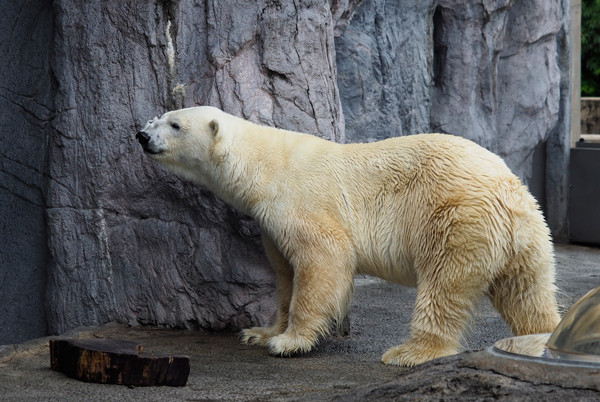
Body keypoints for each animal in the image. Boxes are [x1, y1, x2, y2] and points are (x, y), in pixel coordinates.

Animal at [136, 105, 564, 366]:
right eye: (161, 115)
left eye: (174, 124)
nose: (141, 135)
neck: (265, 167)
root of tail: (510, 189)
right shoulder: (270, 224)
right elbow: (285, 276)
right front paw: (260, 332)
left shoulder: (301, 201)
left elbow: (323, 261)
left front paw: (289, 342)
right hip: (526, 236)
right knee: (527, 292)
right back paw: (542, 338)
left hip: (455, 218)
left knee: (445, 284)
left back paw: (409, 352)